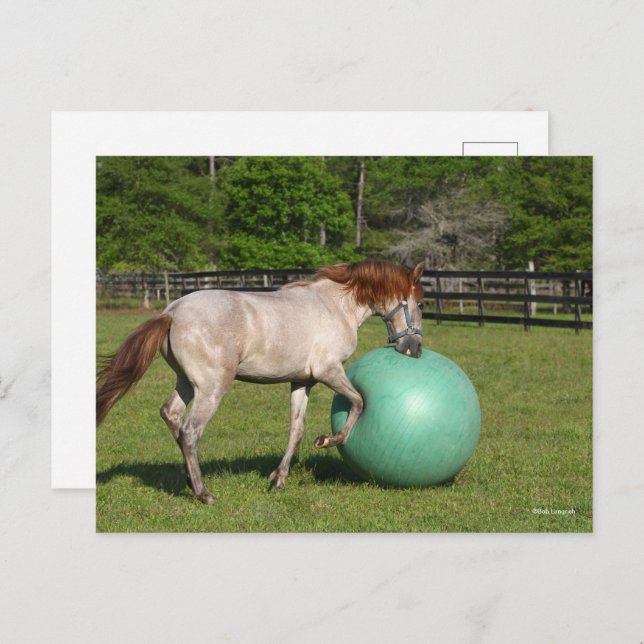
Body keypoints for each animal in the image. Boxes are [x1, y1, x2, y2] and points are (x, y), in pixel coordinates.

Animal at [96, 259, 425, 504]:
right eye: (421, 304)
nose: (415, 349)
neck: (336, 306)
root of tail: (172, 312)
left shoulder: (303, 382)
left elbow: (296, 430)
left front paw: (278, 479)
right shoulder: (329, 372)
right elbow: (358, 402)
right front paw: (329, 440)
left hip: (187, 383)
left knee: (171, 415)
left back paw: (190, 480)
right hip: (212, 389)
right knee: (190, 432)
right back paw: (203, 493)